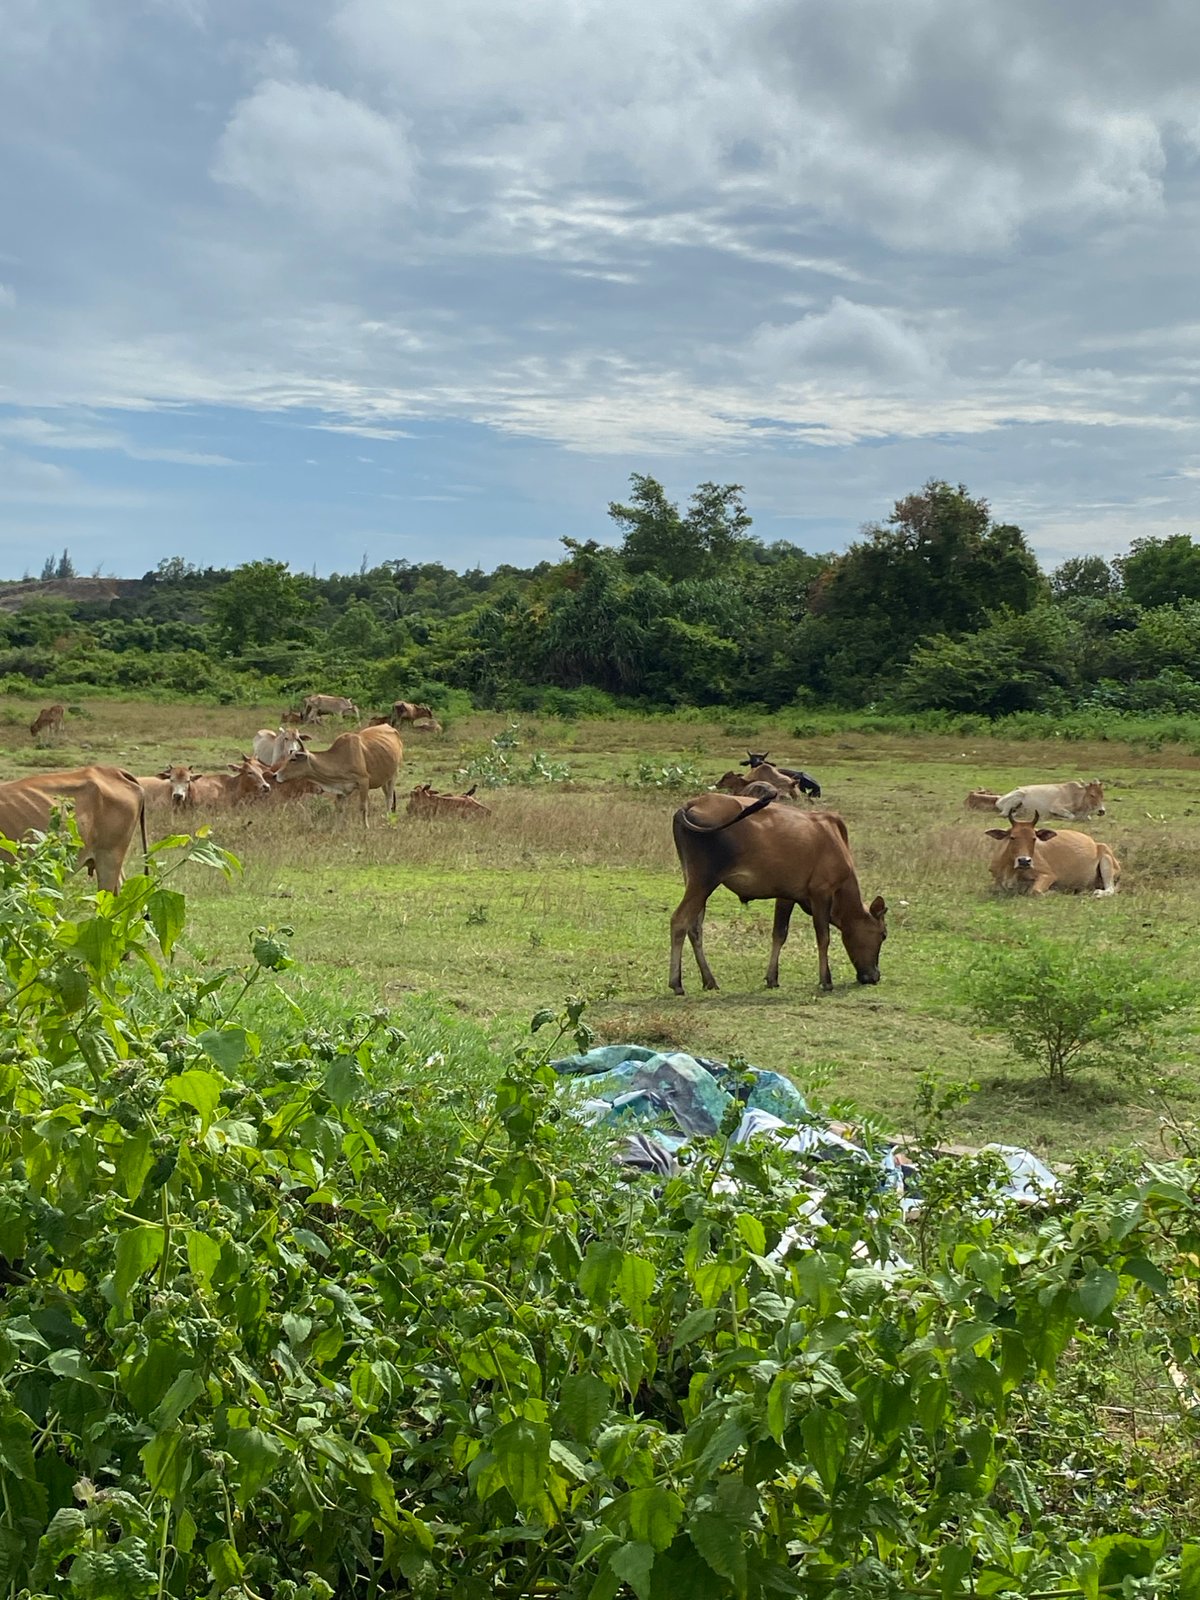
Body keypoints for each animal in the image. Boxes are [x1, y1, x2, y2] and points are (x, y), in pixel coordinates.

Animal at [272, 724, 403, 823]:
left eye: (293, 759)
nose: (275, 775)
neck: (341, 758)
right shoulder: (341, 789)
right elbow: (340, 809)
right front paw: (337, 829)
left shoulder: (364, 781)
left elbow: (363, 807)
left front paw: (365, 827)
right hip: (384, 779)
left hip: (394, 774)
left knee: (389, 798)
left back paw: (387, 819)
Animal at [669, 791, 887, 994]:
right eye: (883, 934)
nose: (875, 976)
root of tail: (689, 805)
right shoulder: (821, 892)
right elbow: (823, 937)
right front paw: (826, 980)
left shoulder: (786, 895)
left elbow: (779, 934)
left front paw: (772, 978)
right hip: (704, 881)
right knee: (679, 921)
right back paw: (676, 983)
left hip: (693, 880)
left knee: (695, 928)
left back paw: (709, 981)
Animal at [985, 816, 1120, 896]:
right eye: (1012, 837)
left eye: (1034, 838)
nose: (1024, 861)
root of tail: (1095, 843)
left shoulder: (1048, 875)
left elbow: (1035, 891)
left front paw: (1053, 891)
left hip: (1106, 860)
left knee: (1110, 889)